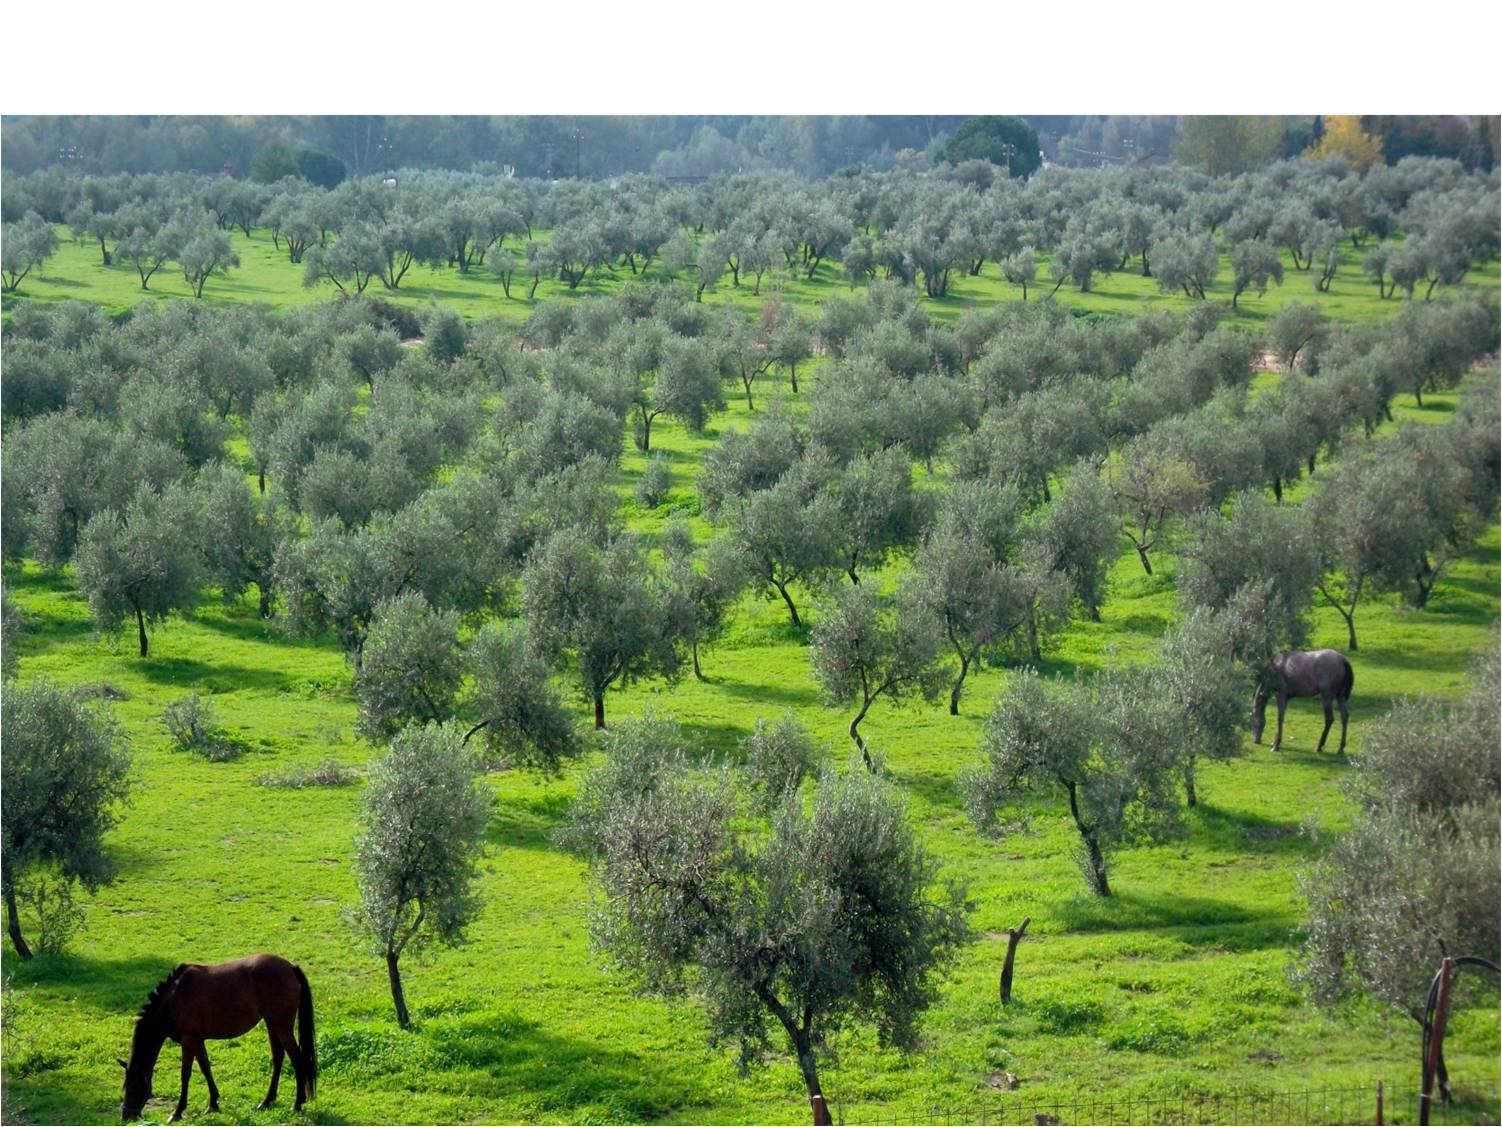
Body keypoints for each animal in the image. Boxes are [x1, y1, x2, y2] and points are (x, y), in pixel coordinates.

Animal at [119, 955, 316, 1123]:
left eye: (134, 1087)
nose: (127, 1117)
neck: (173, 999)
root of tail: (291, 967)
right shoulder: (197, 1041)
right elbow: (206, 1068)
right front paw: (213, 1103)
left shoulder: (188, 1041)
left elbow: (185, 1075)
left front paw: (178, 1111)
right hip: (272, 1025)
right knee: (278, 1058)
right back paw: (266, 1101)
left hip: (282, 1027)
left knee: (297, 1060)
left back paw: (297, 1104)